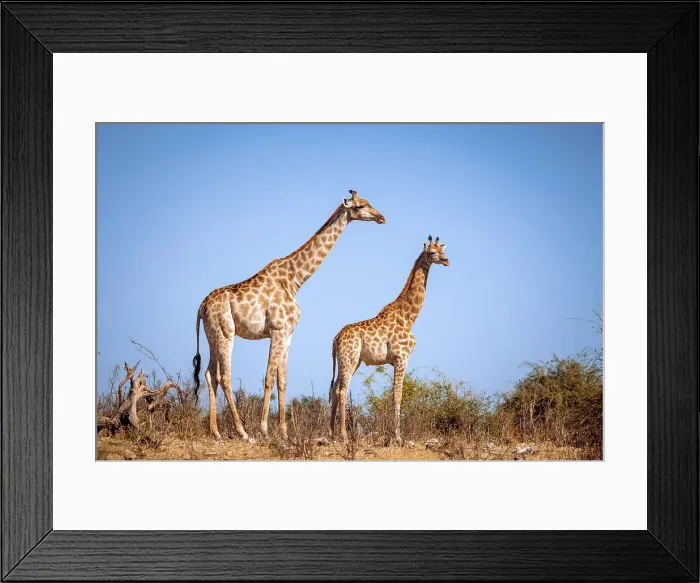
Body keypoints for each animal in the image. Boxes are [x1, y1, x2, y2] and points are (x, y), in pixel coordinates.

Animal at [192, 190, 386, 442]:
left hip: (212, 335)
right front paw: (264, 429)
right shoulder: (277, 329)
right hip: (226, 333)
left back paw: (215, 432)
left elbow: (281, 379)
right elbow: (268, 377)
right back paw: (243, 432)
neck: (295, 279)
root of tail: (201, 306)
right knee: (224, 375)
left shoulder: (288, 333)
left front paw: (284, 432)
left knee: (209, 373)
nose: (381, 217)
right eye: (361, 206)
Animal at [329, 235, 449, 443]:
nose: (447, 260)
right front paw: (398, 437)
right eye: (433, 252)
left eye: (443, 250)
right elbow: (397, 396)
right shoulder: (401, 358)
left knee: (334, 389)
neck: (409, 317)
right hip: (349, 358)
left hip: (352, 361)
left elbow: (395, 395)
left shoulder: (398, 360)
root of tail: (335, 339)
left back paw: (331, 434)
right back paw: (344, 435)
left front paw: (397, 435)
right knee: (342, 390)